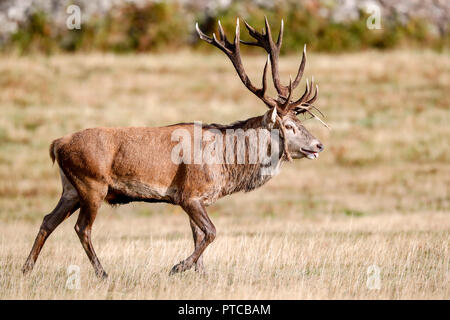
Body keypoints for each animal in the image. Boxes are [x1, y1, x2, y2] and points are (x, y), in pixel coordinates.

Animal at [22, 17, 324, 278]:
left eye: (299, 121)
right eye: (289, 126)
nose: (318, 144)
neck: (226, 164)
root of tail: (57, 144)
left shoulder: (197, 199)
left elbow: (198, 236)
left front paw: (201, 273)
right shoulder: (189, 194)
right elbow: (211, 232)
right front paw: (178, 267)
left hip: (70, 187)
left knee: (48, 220)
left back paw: (27, 268)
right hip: (92, 183)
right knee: (82, 227)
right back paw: (102, 273)